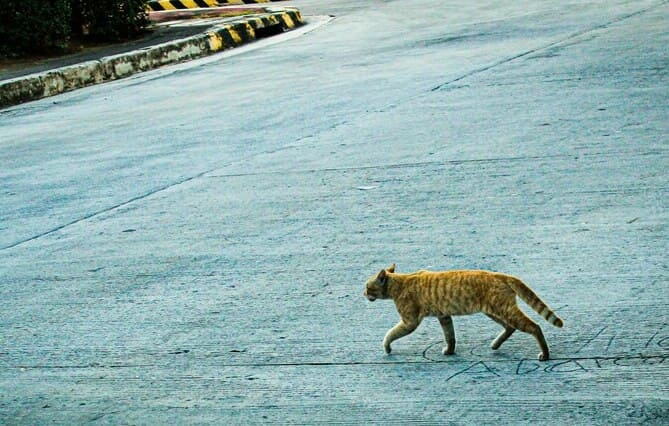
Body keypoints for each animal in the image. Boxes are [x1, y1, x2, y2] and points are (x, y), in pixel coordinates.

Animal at [362, 264, 560, 362]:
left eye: (367, 287)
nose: (363, 293)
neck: (399, 283)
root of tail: (502, 275)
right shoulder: (444, 316)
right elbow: (450, 336)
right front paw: (450, 351)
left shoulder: (409, 322)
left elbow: (390, 334)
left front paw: (387, 348)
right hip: (494, 311)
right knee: (510, 328)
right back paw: (495, 344)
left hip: (504, 310)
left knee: (535, 327)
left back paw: (545, 354)